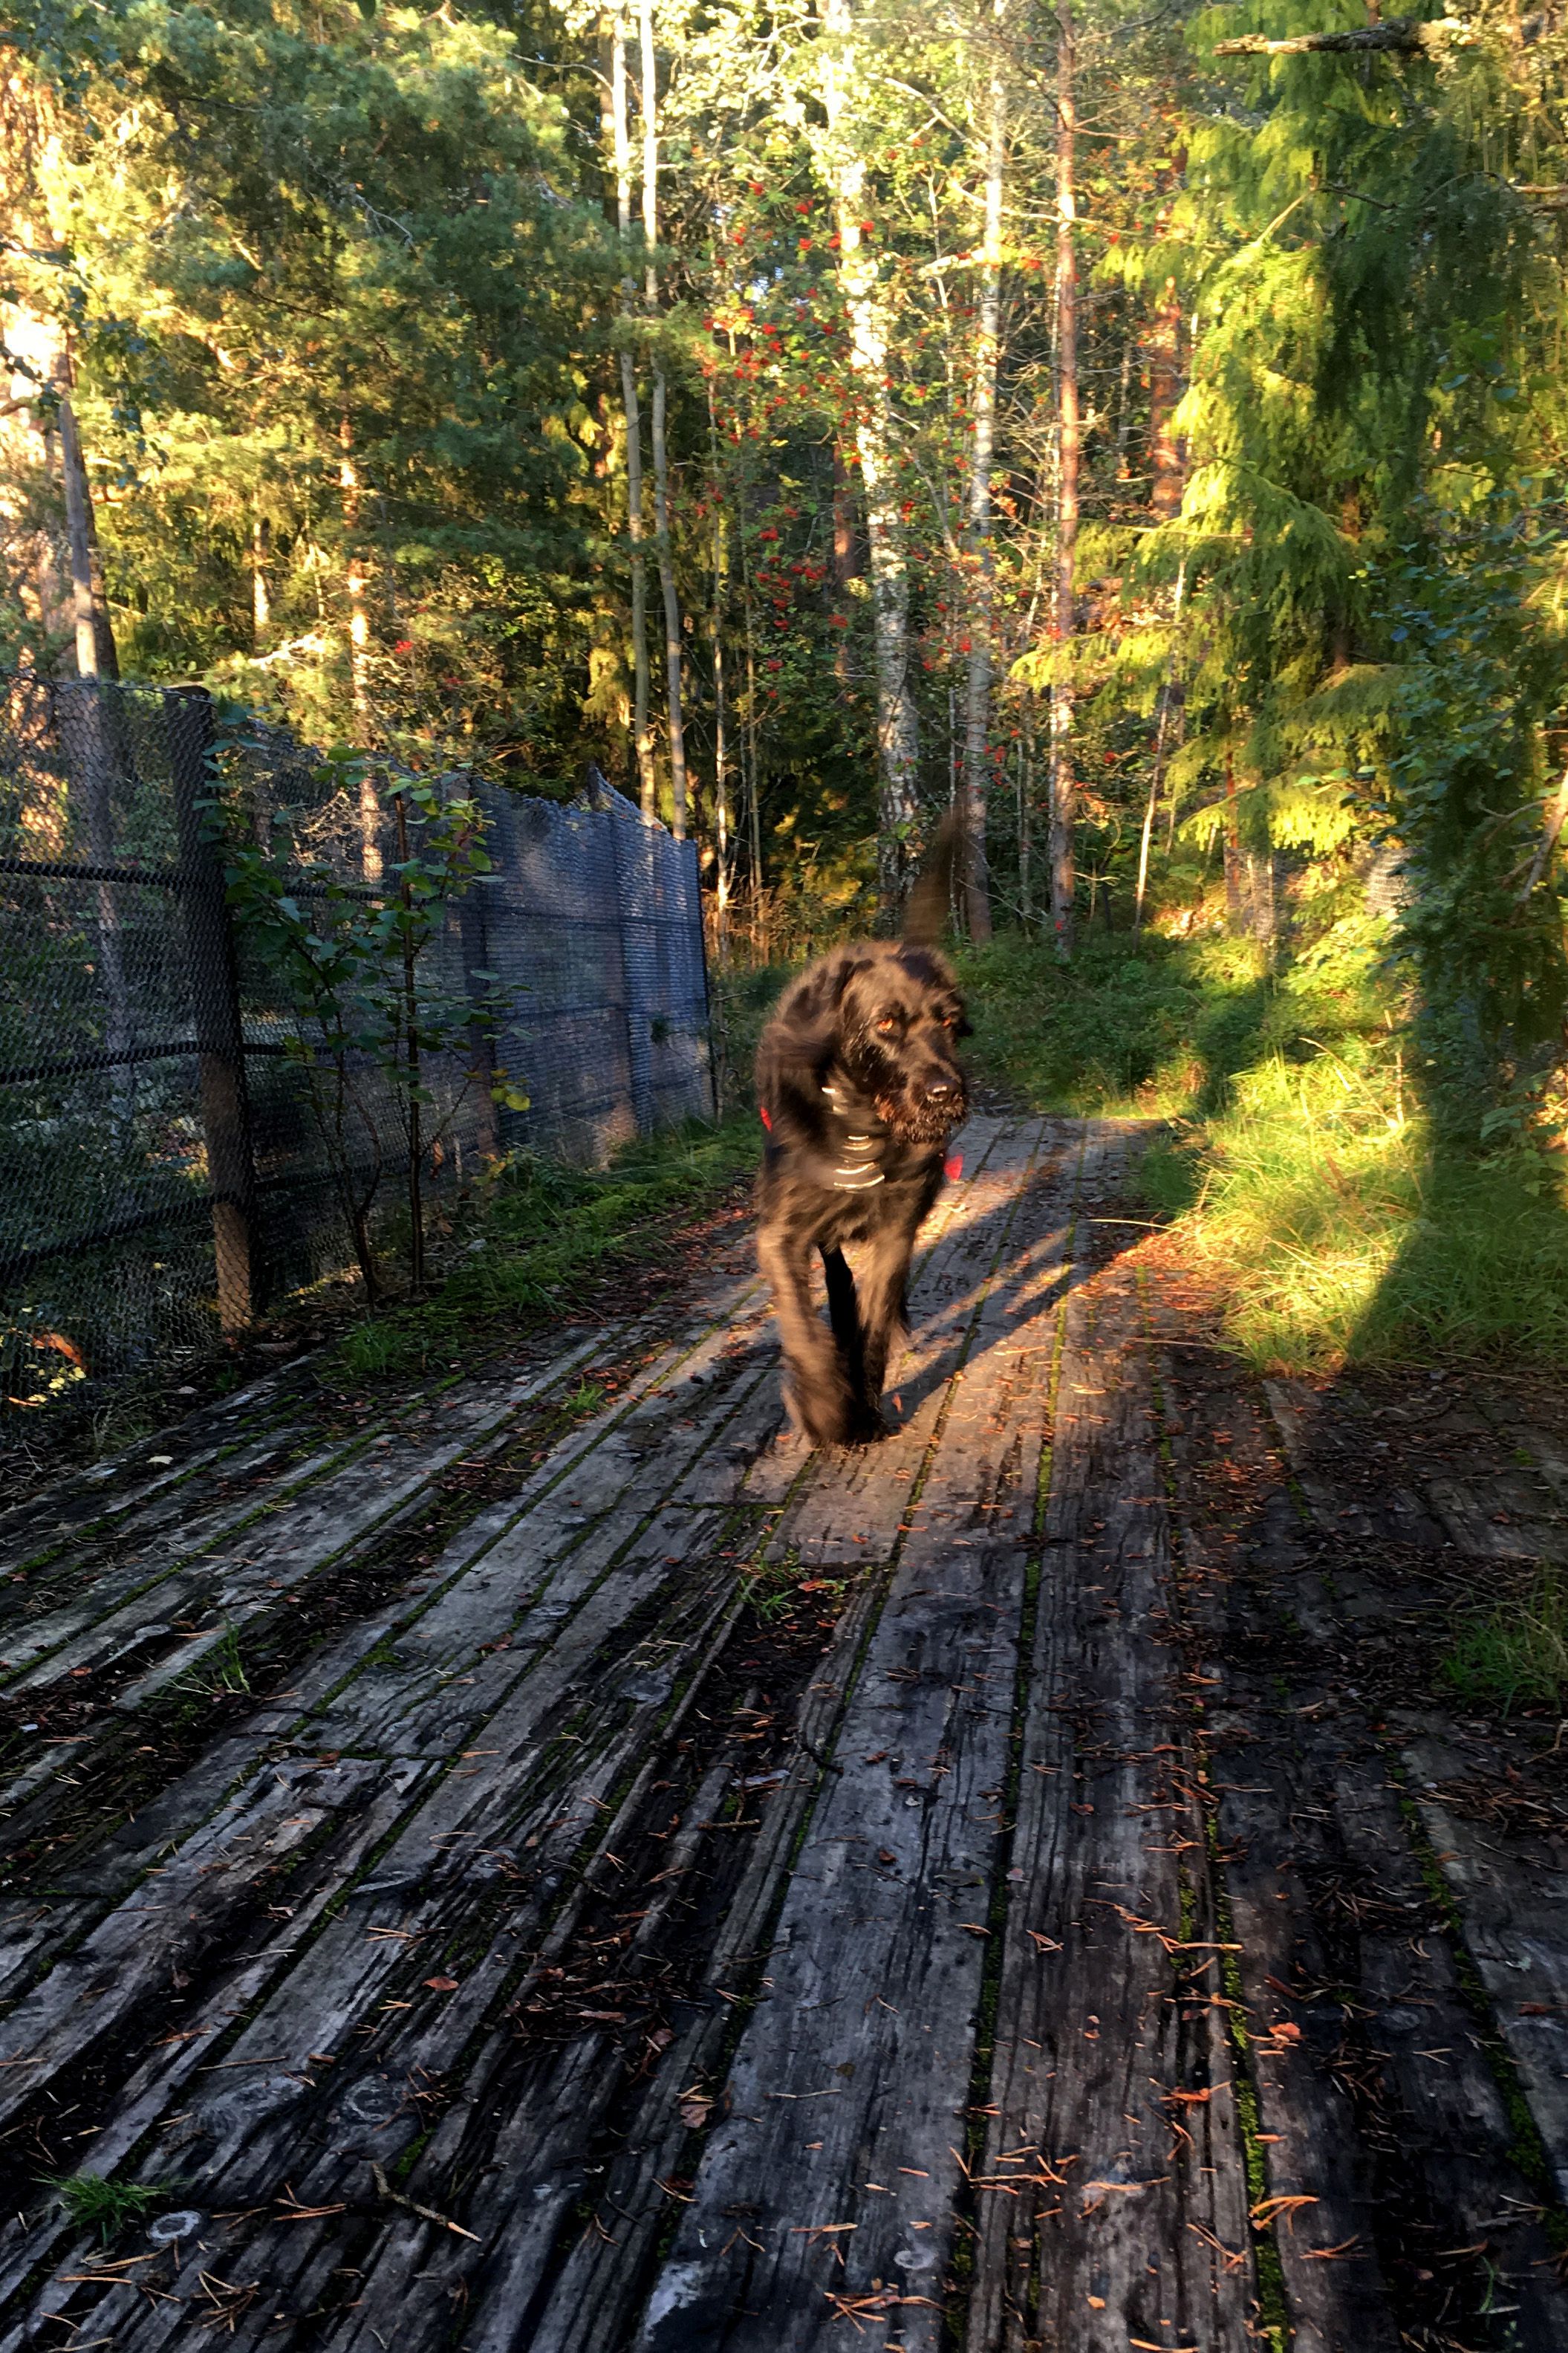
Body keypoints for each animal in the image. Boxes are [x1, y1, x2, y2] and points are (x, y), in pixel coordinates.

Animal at [754, 820, 971, 1448]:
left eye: (948, 1021)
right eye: (886, 1023)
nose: (945, 1091)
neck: (861, 1126)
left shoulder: (897, 1229)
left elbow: (875, 1326)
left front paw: (864, 1410)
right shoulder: (780, 1235)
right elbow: (803, 1328)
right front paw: (828, 1411)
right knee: (834, 1278)